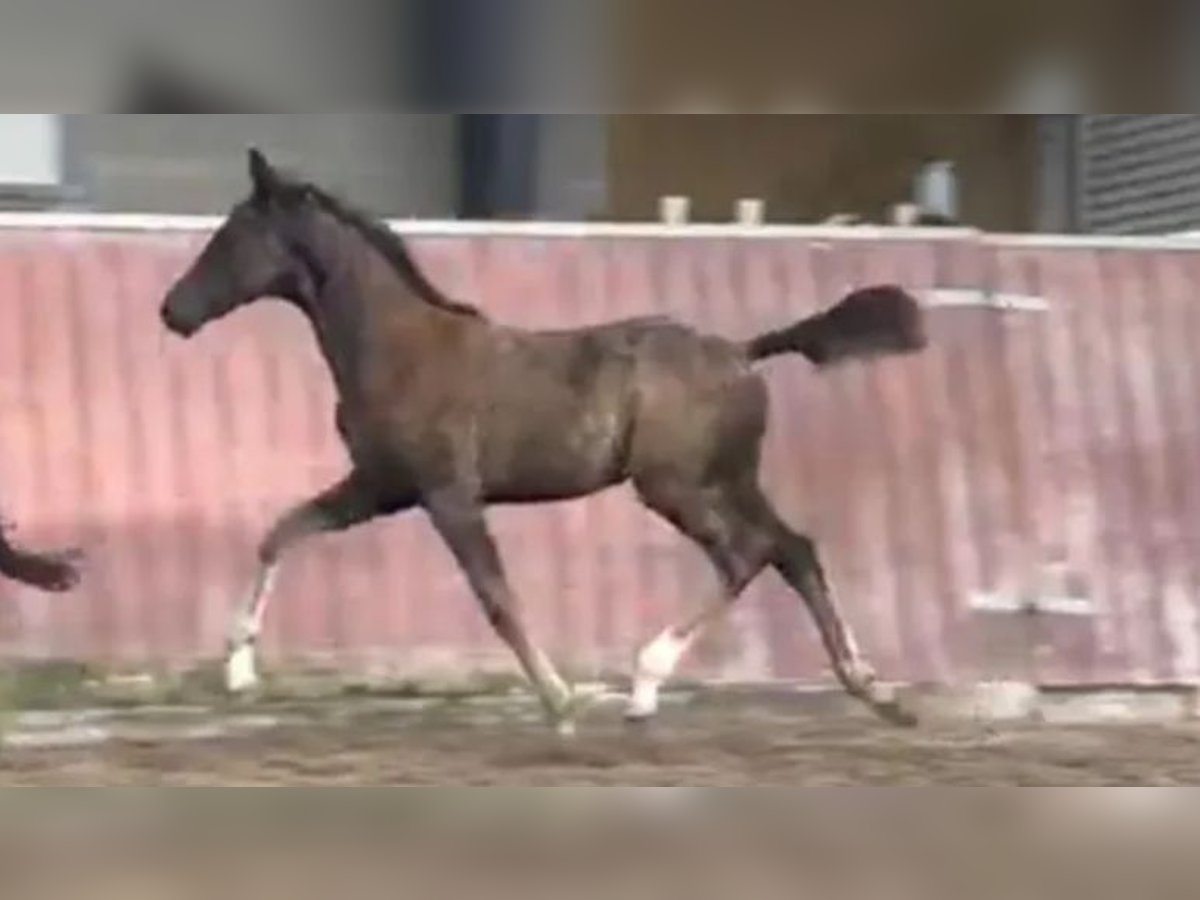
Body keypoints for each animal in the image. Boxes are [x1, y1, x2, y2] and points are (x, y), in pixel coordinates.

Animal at [160, 148, 928, 735]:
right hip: (726, 479)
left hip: (675, 486)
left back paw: (645, 685)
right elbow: (282, 532)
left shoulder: (448, 495)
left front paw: (562, 701)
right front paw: (238, 671)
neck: (398, 348)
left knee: (748, 554)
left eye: (231, 238)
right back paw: (873, 690)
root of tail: (743, 352)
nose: (172, 311)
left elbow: (496, 597)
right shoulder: (381, 487)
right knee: (794, 549)